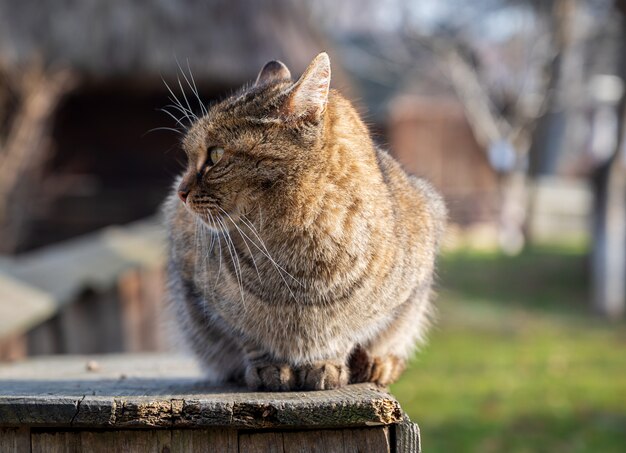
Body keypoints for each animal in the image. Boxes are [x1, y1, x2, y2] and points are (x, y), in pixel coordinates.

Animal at [161, 53, 444, 390]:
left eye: (215, 155)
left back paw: (377, 364)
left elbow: (346, 333)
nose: (180, 192)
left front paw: (326, 363)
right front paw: (269, 367)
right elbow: (249, 336)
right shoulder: (207, 296)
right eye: (190, 158)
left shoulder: (400, 292)